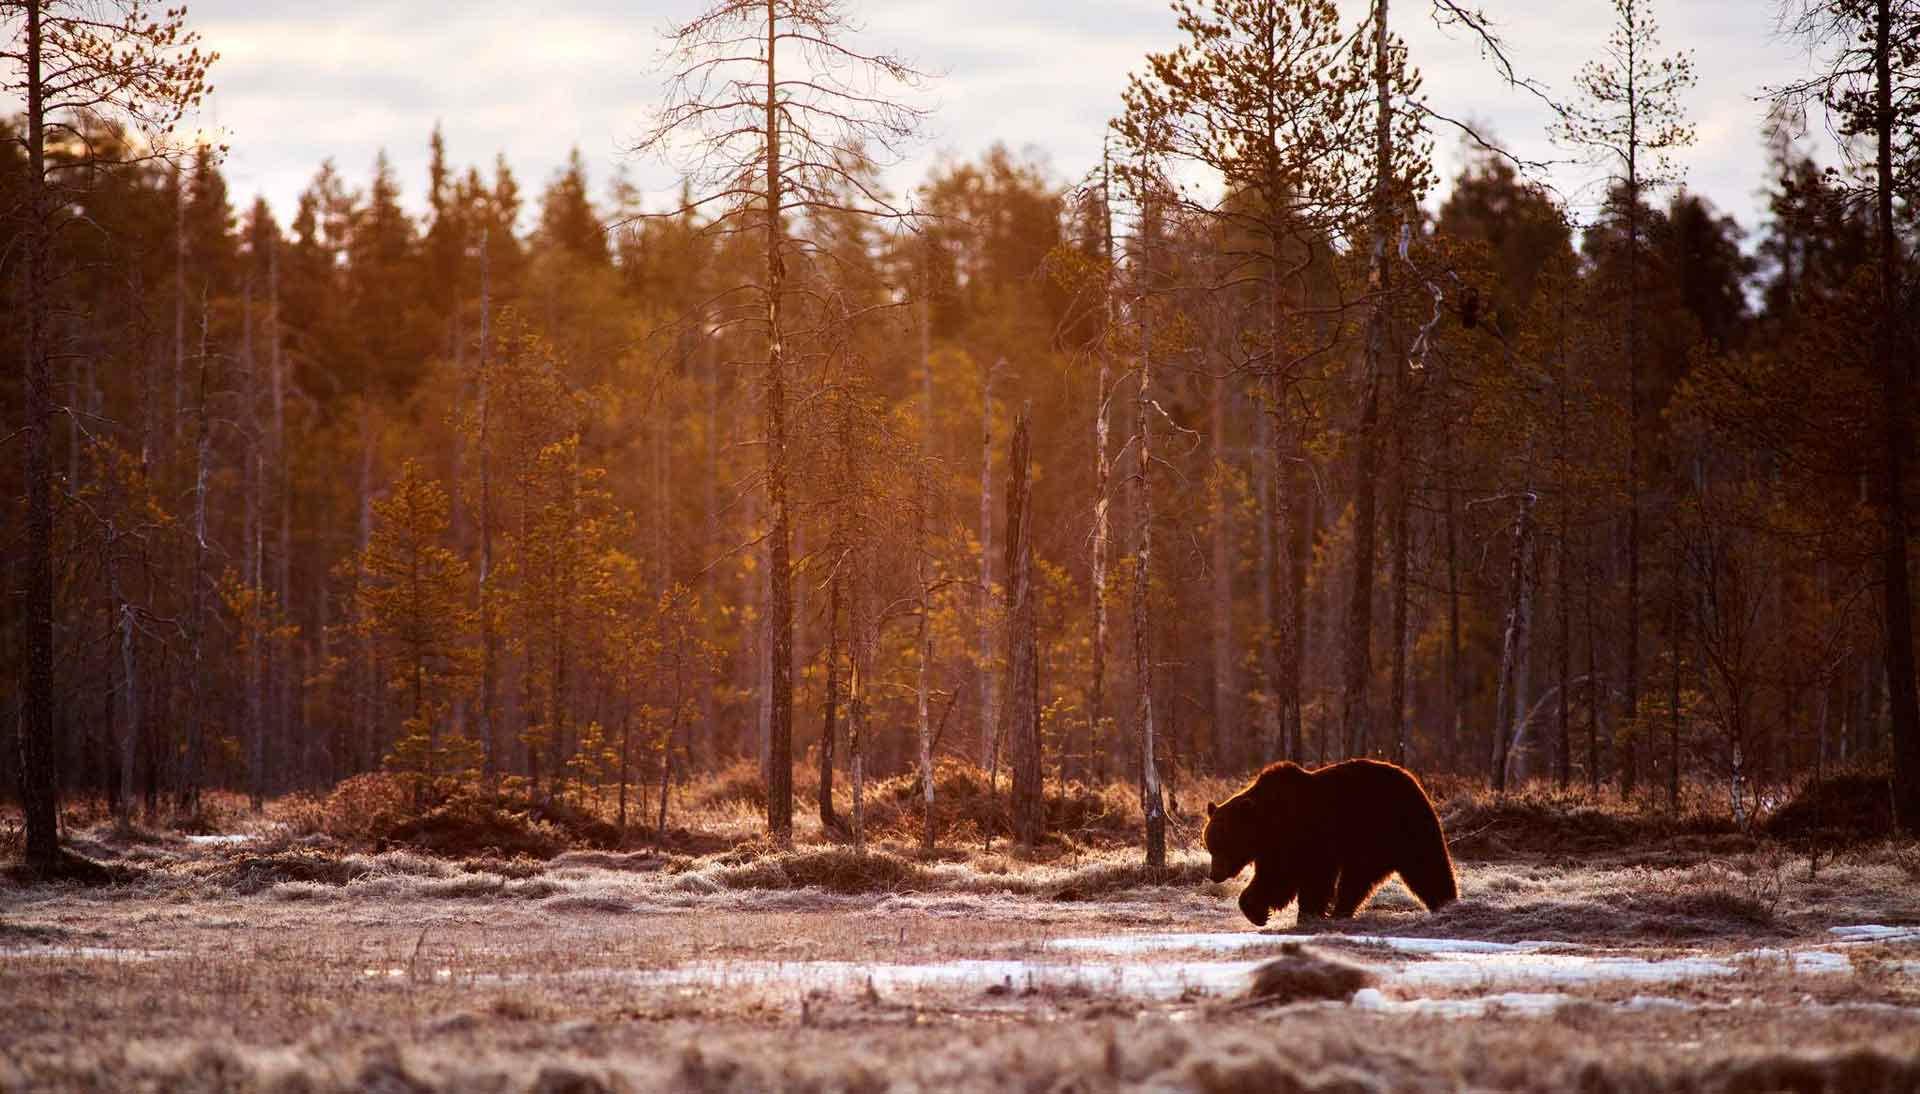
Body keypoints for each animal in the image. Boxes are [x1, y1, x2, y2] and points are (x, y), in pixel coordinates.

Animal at [1198, 756, 1451, 921]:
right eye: (1211, 846)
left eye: (1223, 846)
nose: (1214, 874)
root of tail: (1413, 779)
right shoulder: (1275, 848)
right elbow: (1275, 878)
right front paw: (1259, 911)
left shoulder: (1308, 837)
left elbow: (1306, 876)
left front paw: (1306, 912)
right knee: (1363, 878)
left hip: (1393, 826)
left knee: (1425, 863)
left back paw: (1447, 903)